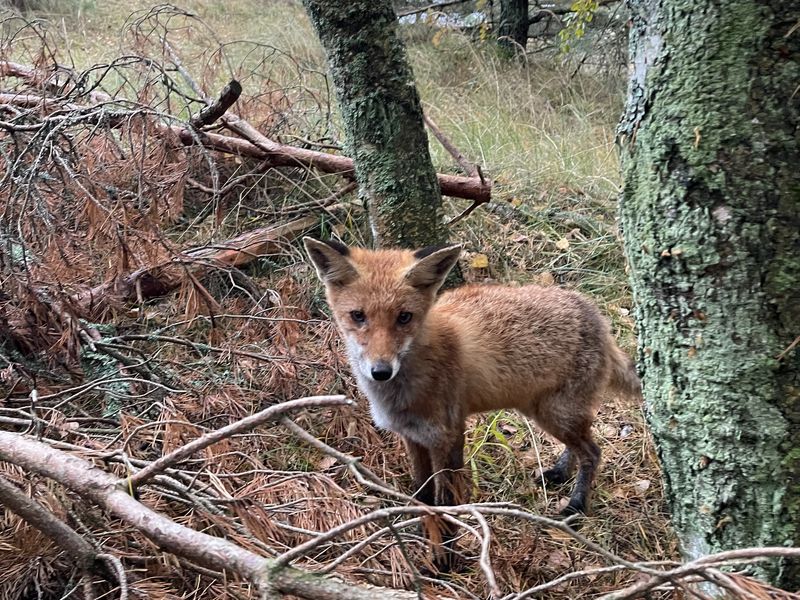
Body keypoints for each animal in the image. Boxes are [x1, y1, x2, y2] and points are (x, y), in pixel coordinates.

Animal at [304, 237, 641, 564]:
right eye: (358, 316)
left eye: (404, 317)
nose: (381, 371)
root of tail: (594, 313)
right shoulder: (412, 437)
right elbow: (422, 496)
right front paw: (425, 536)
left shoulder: (448, 436)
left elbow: (447, 503)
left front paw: (447, 556)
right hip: (544, 410)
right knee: (580, 444)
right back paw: (560, 473)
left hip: (556, 414)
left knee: (593, 452)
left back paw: (577, 504)